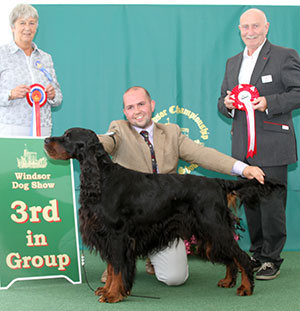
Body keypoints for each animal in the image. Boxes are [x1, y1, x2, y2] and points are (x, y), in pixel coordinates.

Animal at [44, 128, 284, 304]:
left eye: (68, 136)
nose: (46, 139)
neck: (102, 178)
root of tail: (217, 182)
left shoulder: (117, 235)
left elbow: (119, 268)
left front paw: (113, 294)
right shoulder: (108, 236)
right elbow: (112, 268)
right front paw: (107, 289)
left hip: (214, 227)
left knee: (242, 257)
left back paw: (246, 288)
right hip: (208, 232)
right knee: (230, 257)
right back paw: (228, 281)